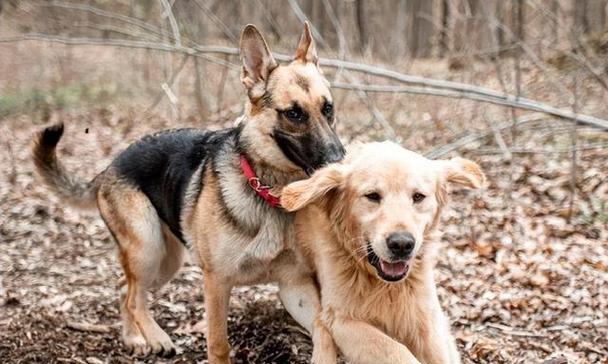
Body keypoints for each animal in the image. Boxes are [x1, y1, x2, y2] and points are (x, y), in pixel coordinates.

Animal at [33, 24, 344, 362]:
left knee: (124, 288)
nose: (339, 159)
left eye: (328, 108)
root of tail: (109, 167)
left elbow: (324, 328)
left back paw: (134, 338)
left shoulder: (294, 285)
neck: (267, 192)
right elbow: (219, 344)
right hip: (148, 249)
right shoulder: (216, 283)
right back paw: (155, 337)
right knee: (133, 298)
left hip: (165, 263)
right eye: (294, 114)